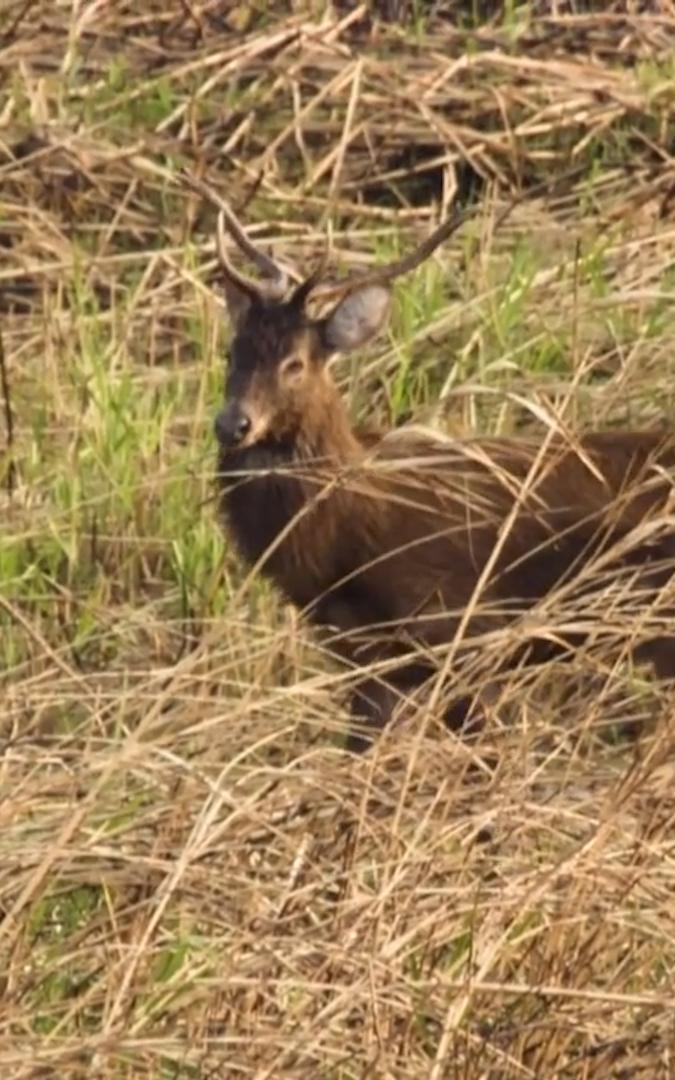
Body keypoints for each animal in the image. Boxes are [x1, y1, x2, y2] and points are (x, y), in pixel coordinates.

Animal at [190, 177, 673, 751]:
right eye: (232, 354)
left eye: (295, 364)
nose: (233, 424)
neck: (349, 530)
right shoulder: (367, 653)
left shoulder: (461, 624)